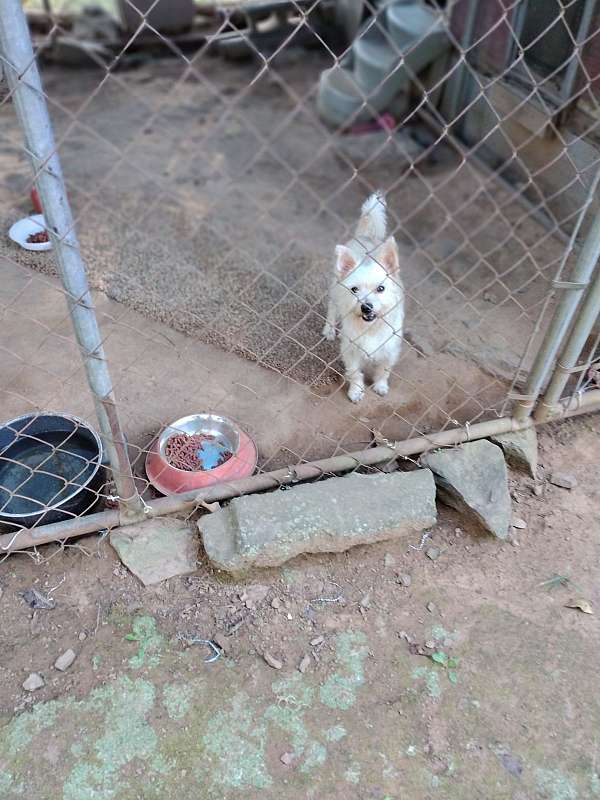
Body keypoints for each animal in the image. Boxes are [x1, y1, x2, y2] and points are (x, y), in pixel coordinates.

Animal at [324, 191, 404, 404]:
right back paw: (329, 330)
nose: (366, 307)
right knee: (332, 309)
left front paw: (381, 386)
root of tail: (366, 236)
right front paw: (356, 391)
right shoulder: (350, 350)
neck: (370, 327)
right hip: (335, 291)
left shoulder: (390, 350)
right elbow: (354, 372)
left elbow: (384, 370)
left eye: (381, 288)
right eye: (355, 290)